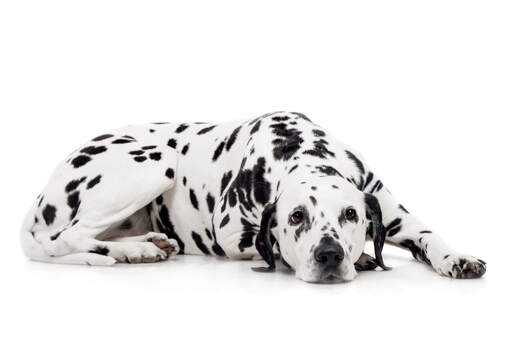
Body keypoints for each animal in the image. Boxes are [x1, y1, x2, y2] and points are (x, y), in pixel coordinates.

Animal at [20, 111, 486, 282]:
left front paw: (457, 258)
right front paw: (364, 259)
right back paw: (135, 251)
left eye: (351, 215)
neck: (300, 149)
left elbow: (429, 236)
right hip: (155, 161)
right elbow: (272, 246)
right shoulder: (230, 235)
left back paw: (145, 243)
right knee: (69, 236)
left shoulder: (391, 212)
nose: (330, 254)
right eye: (296, 217)